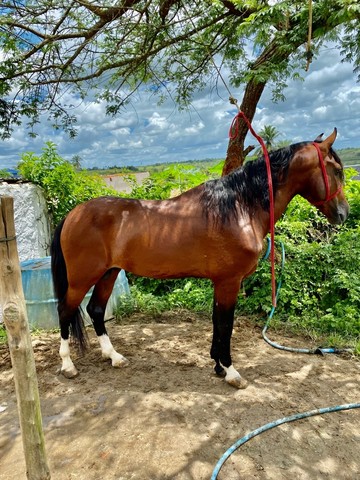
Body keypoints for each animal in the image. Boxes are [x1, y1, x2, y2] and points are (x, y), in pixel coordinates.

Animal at [50, 129, 348, 388]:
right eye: (337, 170)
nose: (343, 214)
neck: (239, 208)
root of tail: (73, 214)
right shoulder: (229, 281)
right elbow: (226, 324)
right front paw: (230, 371)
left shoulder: (220, 282)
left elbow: (217, 322)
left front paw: (217, 365)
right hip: (82, 279)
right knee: (65, 311)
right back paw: (68, 366)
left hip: (108, 273)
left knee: (96, 311)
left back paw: (114, 357)